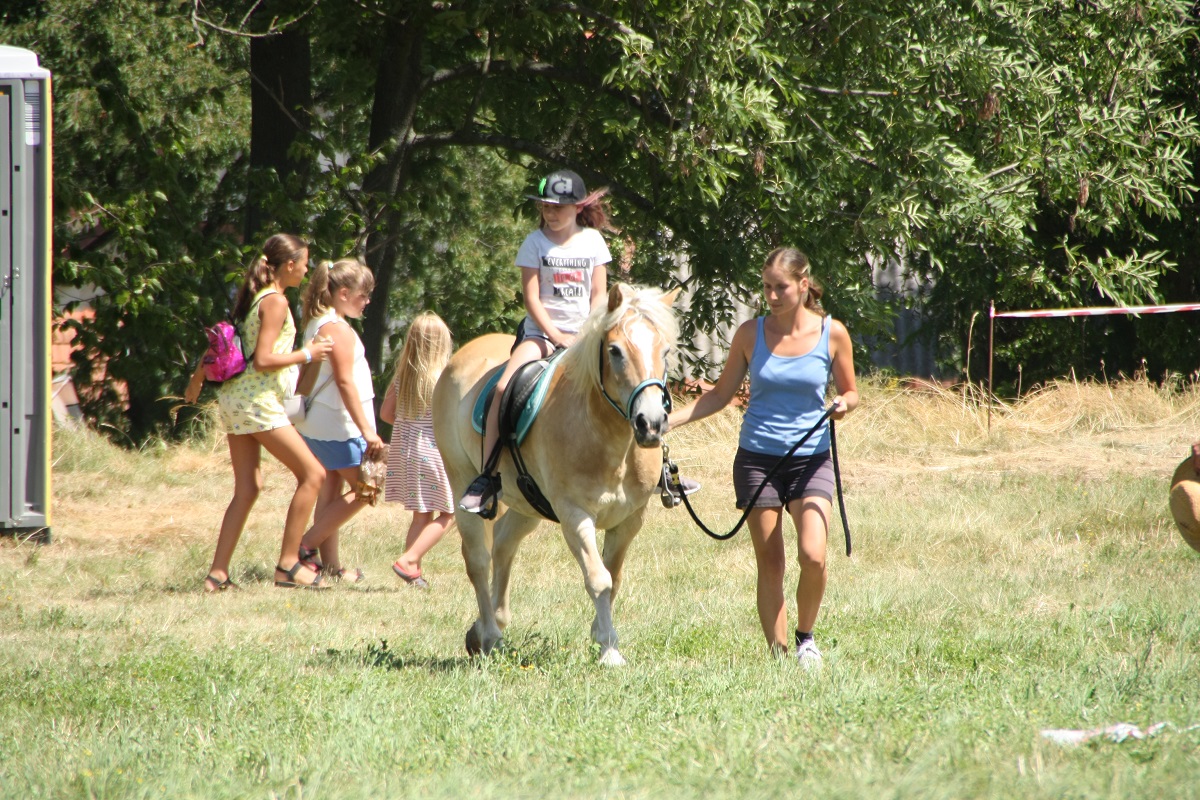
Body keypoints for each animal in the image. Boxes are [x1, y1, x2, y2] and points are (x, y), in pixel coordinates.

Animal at [434, 284, 681, 666]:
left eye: (665, 351)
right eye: (615, 351)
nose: (651, 424)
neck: (607, 438)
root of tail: (461, 357)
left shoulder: (629, 519)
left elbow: (614, 577)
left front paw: (601, 637)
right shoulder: (574, 515)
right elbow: (599, 579)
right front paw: (609, 649)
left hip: (526, 503)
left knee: (503, 545)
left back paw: (489, 625)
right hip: (461, 480)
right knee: (477, 558)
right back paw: (489, 635)